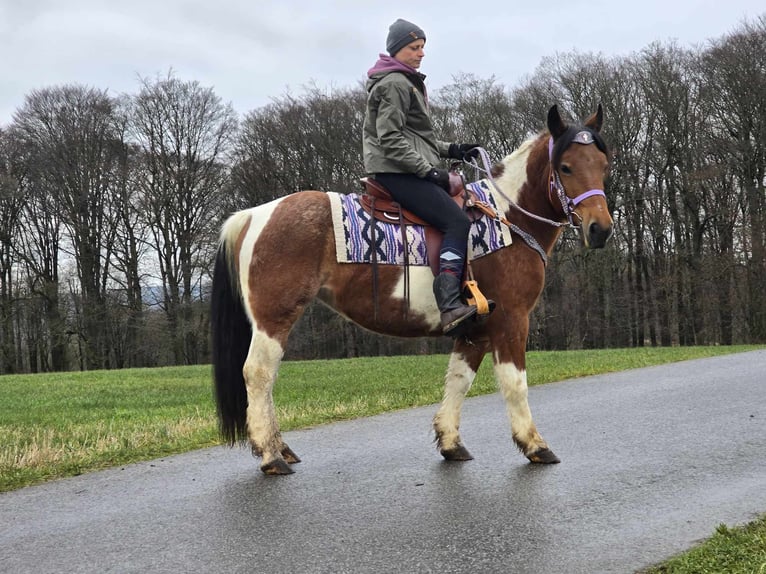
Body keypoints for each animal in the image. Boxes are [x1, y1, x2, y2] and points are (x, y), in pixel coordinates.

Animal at [213, 104, 616, 476]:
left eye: (603, 164)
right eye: (566, 167)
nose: (600, 229)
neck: (506, 218)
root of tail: (254, 215)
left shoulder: (476, 328)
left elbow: (459, 380)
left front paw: (450, 442)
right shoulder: (511, 320)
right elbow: (515, 383)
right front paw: (534, 444)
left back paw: (280, 446)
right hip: (274, 317)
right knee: (259, 374)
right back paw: (271, 454)